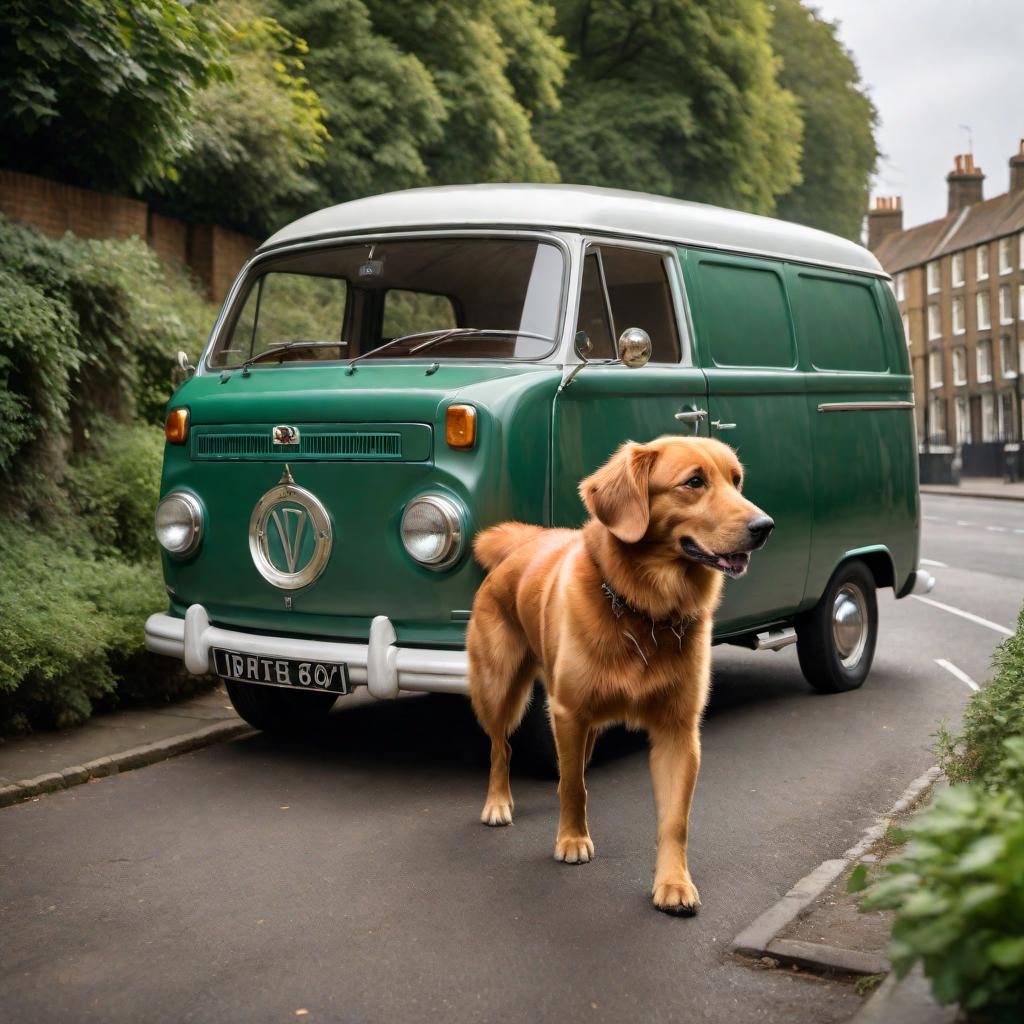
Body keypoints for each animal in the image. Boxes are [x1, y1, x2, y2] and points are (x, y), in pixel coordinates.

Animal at [468, 436, 770, 917]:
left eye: (736, 480)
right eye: (694, 482)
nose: (765, 525)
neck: (644, 611)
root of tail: (527, 542)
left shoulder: (678, 732)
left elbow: (674, 819)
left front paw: (674, 884)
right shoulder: (568, 712)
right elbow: (573, 787)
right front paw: (572, 840)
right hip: (498, 688)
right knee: (502, 748)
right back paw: (498, 803)